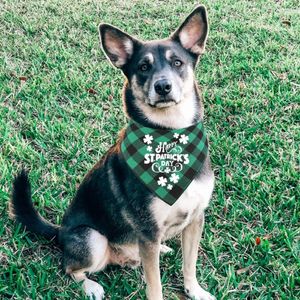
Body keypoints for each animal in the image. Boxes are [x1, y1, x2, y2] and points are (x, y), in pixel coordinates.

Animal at [9, 4, 216, 300]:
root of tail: (60, 232)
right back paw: (91, 286)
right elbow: (155, 285)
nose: (163, 86)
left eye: (177, 62)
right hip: (92, 238)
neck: (170, 136)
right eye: (143, 67)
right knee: (69, 267)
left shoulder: (195, 218)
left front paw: (194, 290)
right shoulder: (147, 231)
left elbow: (190, 263)